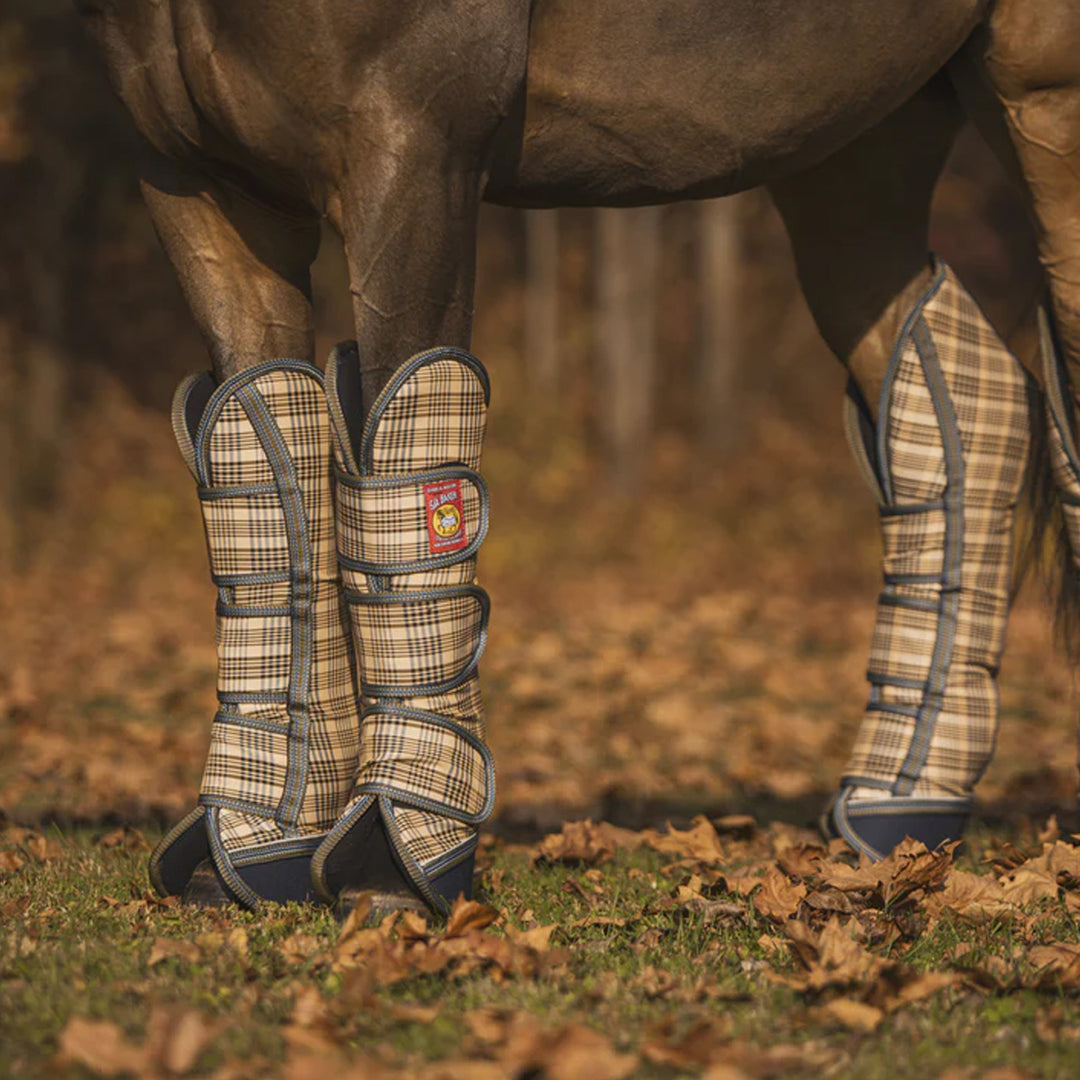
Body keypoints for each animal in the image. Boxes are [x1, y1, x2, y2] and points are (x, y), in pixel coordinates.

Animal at [71, 0, 1080, 911]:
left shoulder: (410, 144)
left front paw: (398, 863)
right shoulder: (197, 181)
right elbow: (274, 463)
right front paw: (252, 852)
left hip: (1037, 93)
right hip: (857, 144)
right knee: (961, 399)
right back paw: (900, 801)